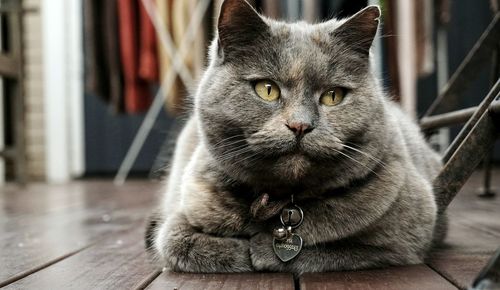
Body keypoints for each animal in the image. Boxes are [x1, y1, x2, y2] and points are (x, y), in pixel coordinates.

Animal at [145, 0, 446, 274]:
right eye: (267, 89)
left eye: (333, 95)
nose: (300, 125)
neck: (285, 207)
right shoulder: (185, 209)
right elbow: (177, 243)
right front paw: (245, 249)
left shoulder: (409, 234)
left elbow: (338, 250)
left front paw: (261, 250)